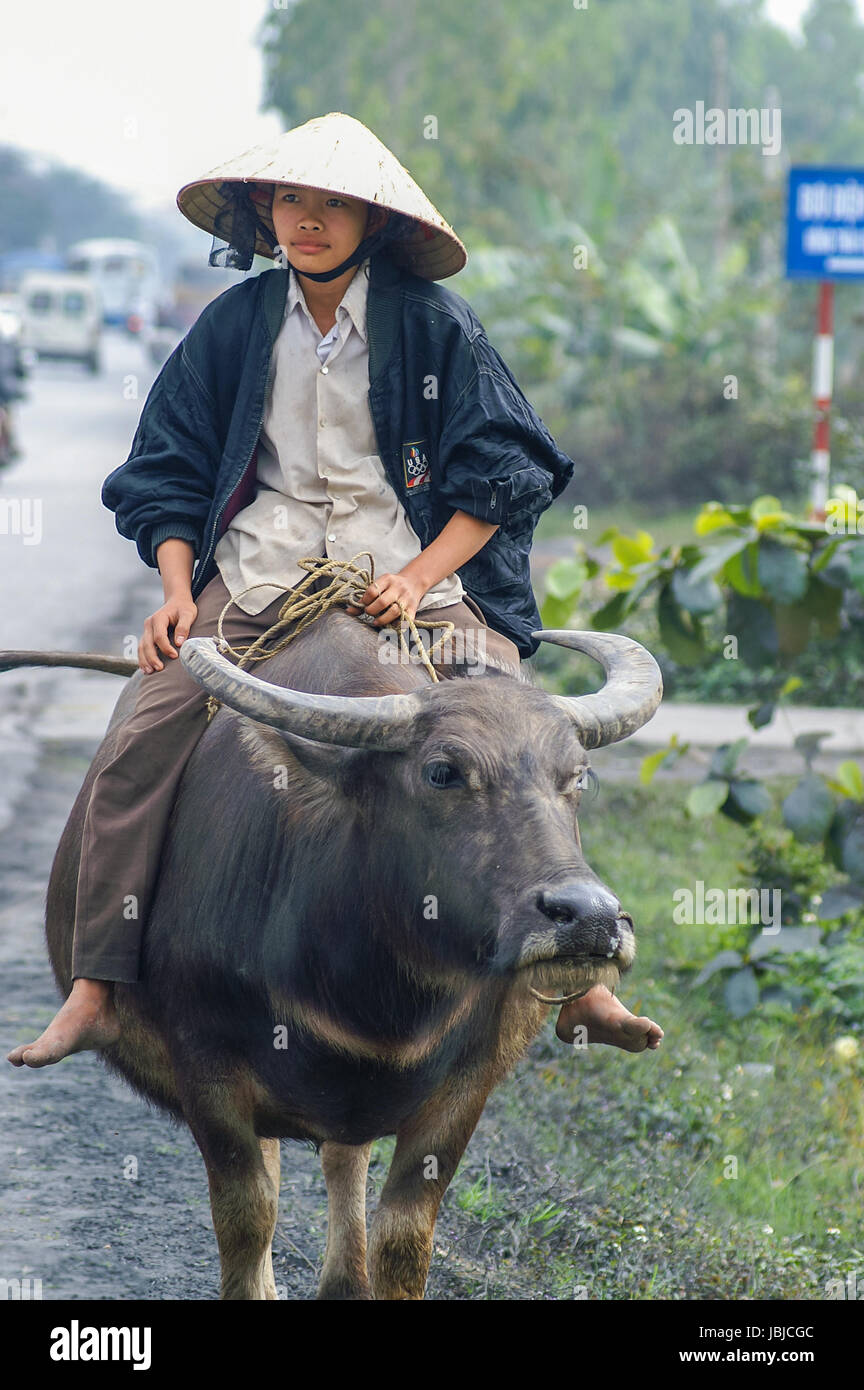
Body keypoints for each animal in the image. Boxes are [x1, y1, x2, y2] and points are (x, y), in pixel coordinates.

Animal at [5, 614, 663, 1295]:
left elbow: (403, 1237)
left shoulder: (469, 1079)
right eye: (442, 772)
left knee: (345, 1169)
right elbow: (248, 1216)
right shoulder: (205, 1065)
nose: (589, 917)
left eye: (578, 776)